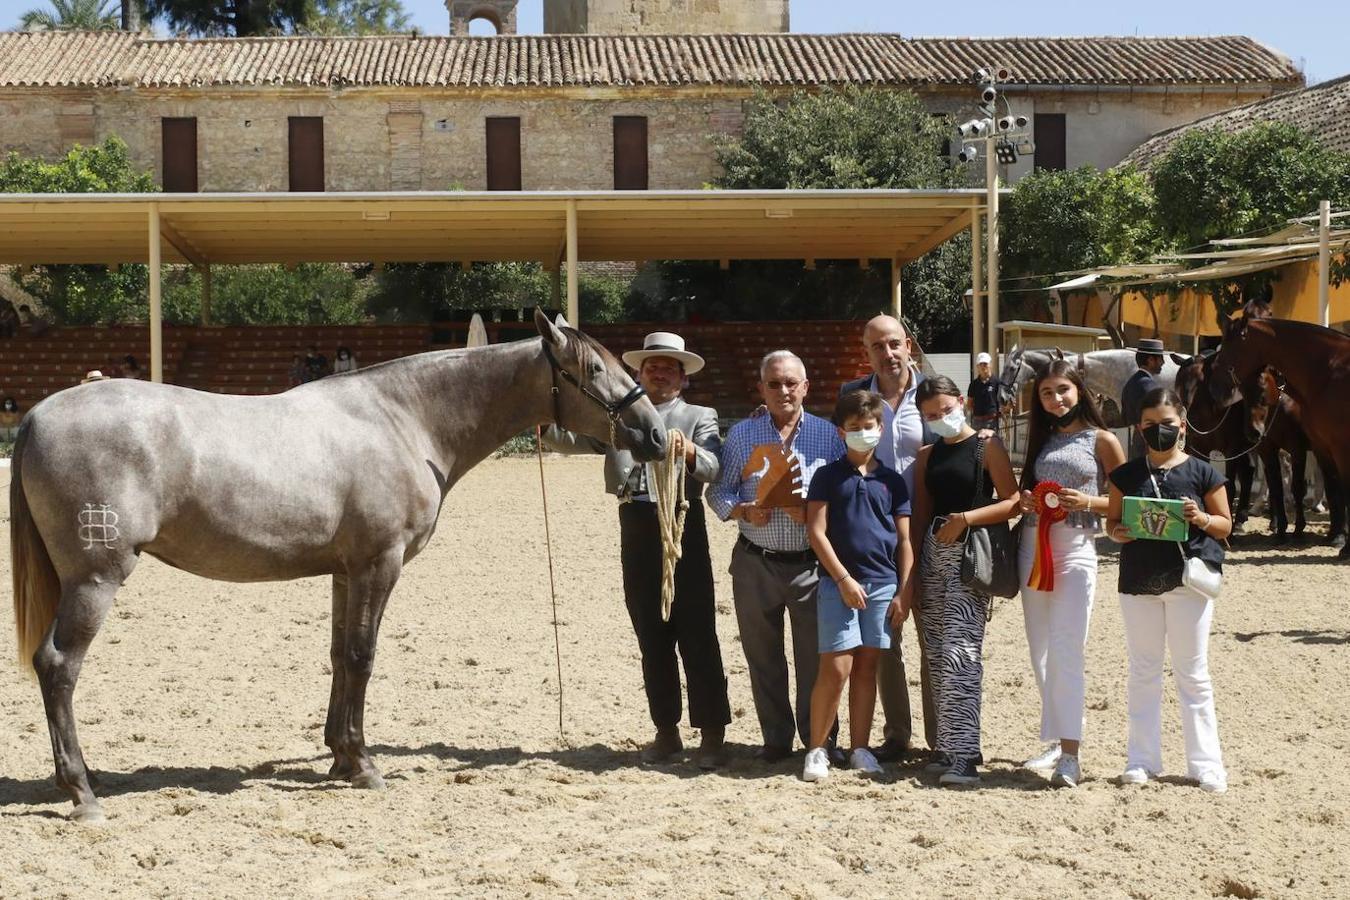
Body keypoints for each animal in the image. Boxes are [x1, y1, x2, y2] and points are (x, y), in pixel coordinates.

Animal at [9, 310, 664, 825]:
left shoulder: (346, 571)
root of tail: (37, 415)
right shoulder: (380, 563)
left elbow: (338, 654)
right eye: (594, 369)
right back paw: (82, 792)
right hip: (96, 579)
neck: (404, 420)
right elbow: (361, 656)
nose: (656, 434)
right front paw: (365, 764)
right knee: (59, 666)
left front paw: (338, 758)